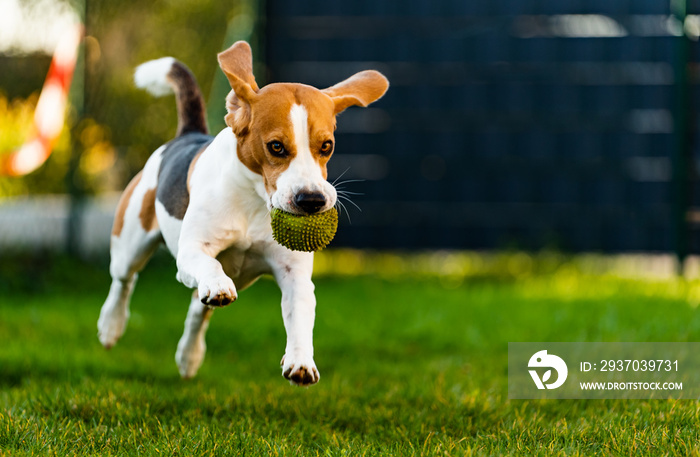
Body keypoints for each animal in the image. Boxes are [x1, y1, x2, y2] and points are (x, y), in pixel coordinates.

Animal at [95, 42, 388, 384]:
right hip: (131, 242)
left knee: (197, 309)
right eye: (276, 146)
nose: (312, 200)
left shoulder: (295, 275)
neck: (255, 202)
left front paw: (301, 361)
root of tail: (188, 134)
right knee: (124, 281)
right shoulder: (192, 252)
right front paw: (218, 284)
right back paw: (111, 326)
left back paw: (189, 356)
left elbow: (301, 316)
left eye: (326, 146)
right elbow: (208, 265)